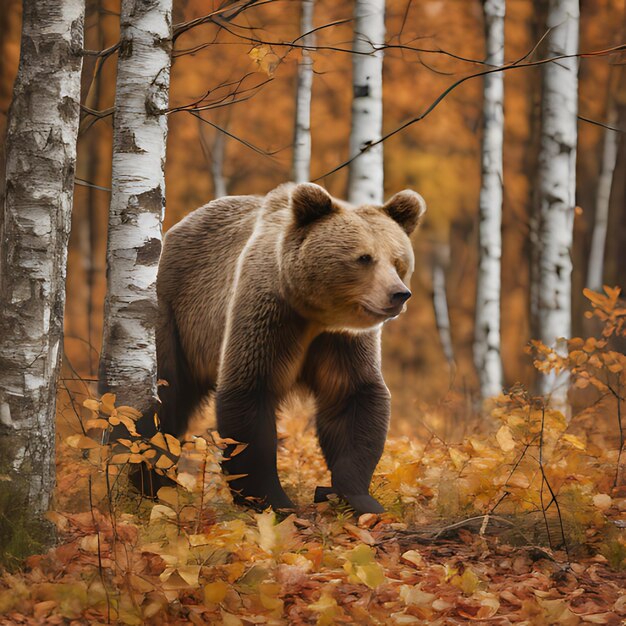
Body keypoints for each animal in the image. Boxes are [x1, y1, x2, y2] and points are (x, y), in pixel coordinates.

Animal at [152, 180, 424, 512]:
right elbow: (250, 393)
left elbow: (353, 397)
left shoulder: (342, 340)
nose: (399, 294)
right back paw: (152, 482)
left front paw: (355, 496)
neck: (314, 313)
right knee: (165, 394)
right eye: (364, 258)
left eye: (398, 261)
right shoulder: (269, 314)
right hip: (175, 314)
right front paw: (272, 498)